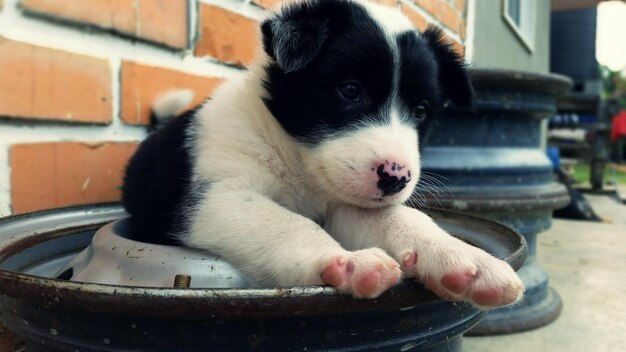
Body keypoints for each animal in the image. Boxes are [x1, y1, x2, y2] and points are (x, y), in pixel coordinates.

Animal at [122, 0, 520, 308]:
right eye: (350, 91)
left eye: (421, 111)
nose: (396, 178)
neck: (295, 160)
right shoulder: (214, 197)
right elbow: (286, 223)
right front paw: (345, 261)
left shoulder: (345, 203)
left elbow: (401, 218)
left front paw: (465, 260)